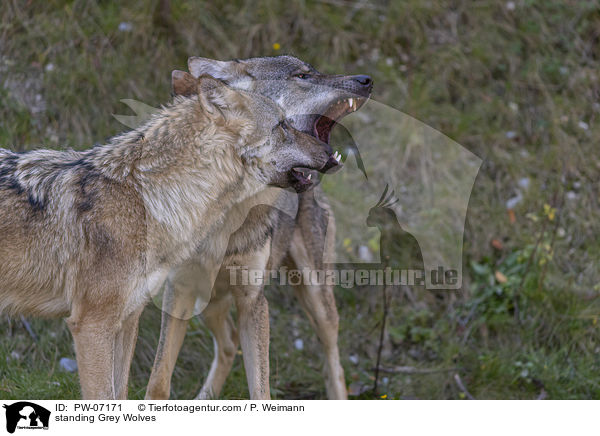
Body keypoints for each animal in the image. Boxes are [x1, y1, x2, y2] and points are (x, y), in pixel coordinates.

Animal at [0, 74, 338, 398]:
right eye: (282, 125)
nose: (331, 154)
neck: (145, 198)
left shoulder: (128, 319)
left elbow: (121, 394)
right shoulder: (92, 325)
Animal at [146, 55, 370, 402]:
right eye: (303, 76)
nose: (366, 80)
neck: (225, 222)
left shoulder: (254, 300)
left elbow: (261, 391)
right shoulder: (179, 290)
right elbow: (158, 381)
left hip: (316, 297)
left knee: (334, 361)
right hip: (209, 301)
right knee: (228, 344)